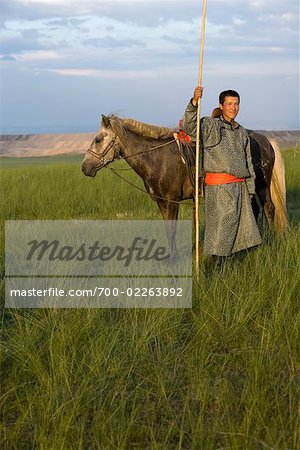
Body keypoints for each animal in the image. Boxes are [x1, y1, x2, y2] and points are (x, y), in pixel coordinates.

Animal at [81, 114, 288, 251]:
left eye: (98, 139)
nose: (84, 167)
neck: (156, 158)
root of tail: (264, 139)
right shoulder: (161, 202)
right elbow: (168, 230)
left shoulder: (172, 201)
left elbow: (172, 230)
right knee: (254, 209)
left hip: (262, 186)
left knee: (269, 209)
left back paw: (274, 241)